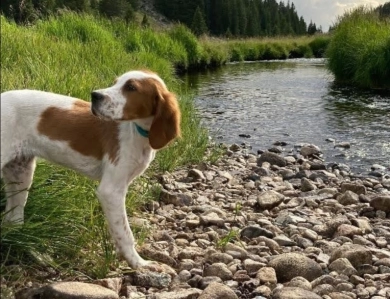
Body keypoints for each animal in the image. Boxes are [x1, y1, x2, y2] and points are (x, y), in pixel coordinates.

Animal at [0, 70, 181, 272]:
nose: (95, 96)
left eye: (131, 87)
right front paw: (139, 263)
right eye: (115, 82)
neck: (137, 132)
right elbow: (125, 233)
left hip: (21, 171)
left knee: (13, 218)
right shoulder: (111, 191)